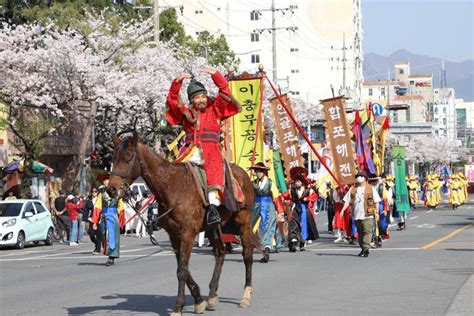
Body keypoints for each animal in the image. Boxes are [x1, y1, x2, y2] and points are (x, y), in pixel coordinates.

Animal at [109, 133, 256, 316]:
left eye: (128, 157)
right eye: (113, 158)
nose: (111, 189)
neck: (172, 187)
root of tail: (243, 174)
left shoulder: (187, 234)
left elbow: (182, 271)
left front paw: (178, 307)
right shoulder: (174, 235)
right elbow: (182, 268)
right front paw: (199, 300)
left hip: (244, 222)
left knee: (247, 255)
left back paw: (246, 295)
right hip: (213, 227)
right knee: (220, 253)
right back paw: (212, 295)